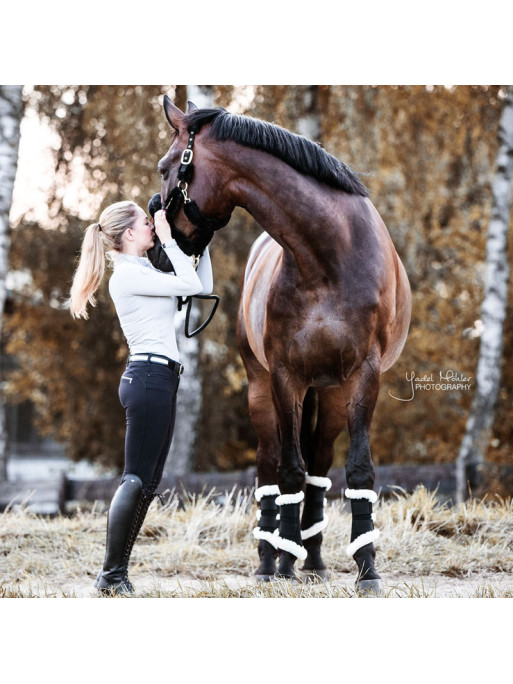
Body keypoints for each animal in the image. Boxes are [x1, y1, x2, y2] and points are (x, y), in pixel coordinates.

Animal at [156, 96, 412, 594]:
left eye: (165, 168)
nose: (158, 253)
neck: (328, 255)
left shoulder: (363, 375)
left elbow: (356, 468)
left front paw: (366, 567)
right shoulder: (284, 376)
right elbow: (289, 468)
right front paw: (284, 562)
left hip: (330, 393)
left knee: (319, 465)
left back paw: (314, 557)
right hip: (262, 390)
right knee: (270, 466)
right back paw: (270, 558)